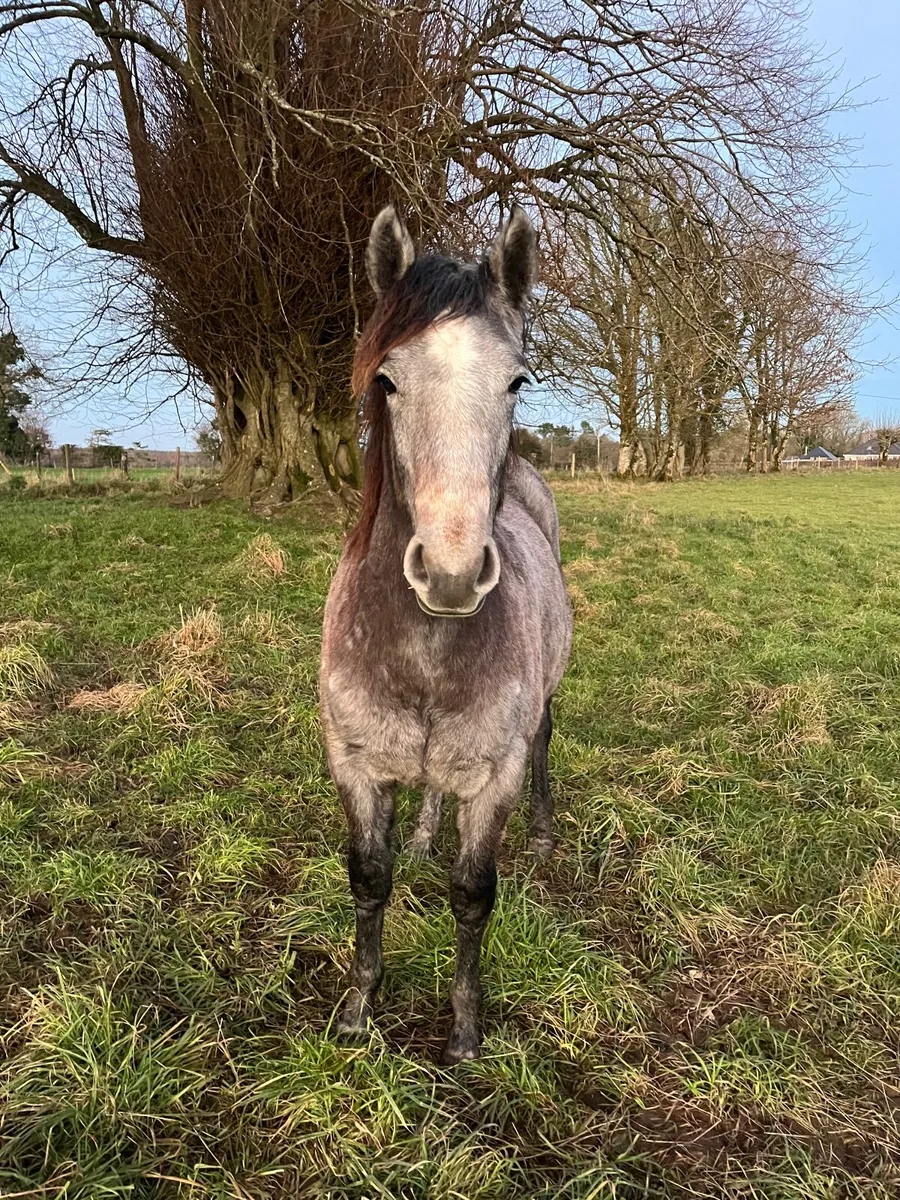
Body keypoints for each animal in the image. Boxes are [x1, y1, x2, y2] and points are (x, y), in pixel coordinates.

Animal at [319, 205, 572, 1064]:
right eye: (387, 380)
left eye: (516, 380)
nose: (453, 574)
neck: (424, 657)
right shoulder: (356, 766)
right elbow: (370, 878)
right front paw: (359, 1009)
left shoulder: (491, 781)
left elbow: (472, 896)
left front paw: (464, 1029)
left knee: (546, 743)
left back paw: (545, 834)